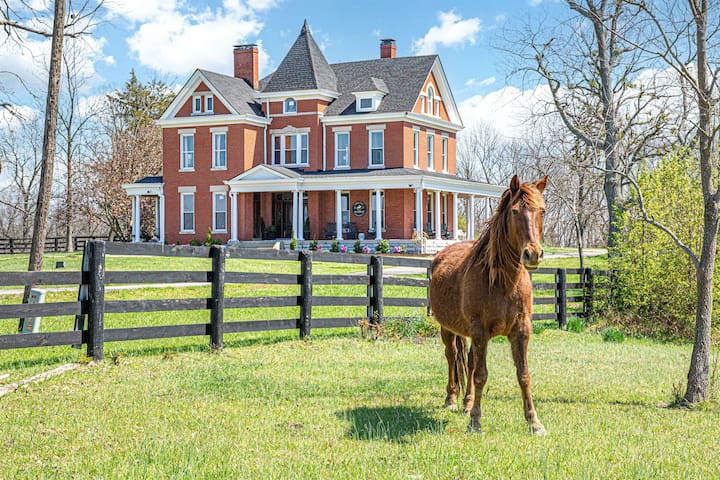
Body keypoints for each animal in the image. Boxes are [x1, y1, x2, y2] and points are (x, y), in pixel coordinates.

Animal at [430, 175, 548, 436]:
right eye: (514, 211)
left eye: (542, 210)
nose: (533, 254)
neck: (503, 281)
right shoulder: (480, 331)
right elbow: (481, 375)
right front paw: (475, 421)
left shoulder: (521, 331)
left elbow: (523, 375)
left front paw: (534, 422)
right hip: (447, 329)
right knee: (452, 357)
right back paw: (451, 400)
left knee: (469, 362)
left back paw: (467, 402)